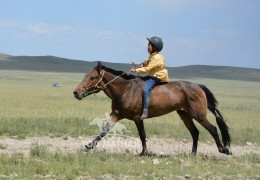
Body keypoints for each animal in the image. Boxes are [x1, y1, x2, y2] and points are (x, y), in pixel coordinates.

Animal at [73, 61, 232, 155]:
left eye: (92, 77)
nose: (76, 92)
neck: (125, 89)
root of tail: (198, 86)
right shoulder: (116, 115)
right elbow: (103, 131)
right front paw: (88, 146)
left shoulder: (137, 118)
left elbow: (142, 135)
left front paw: (144, 153)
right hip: (185, 115)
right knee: (195, 133)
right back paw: (193, 154)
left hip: (199, 115)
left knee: (213, 129)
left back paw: (223, 149)